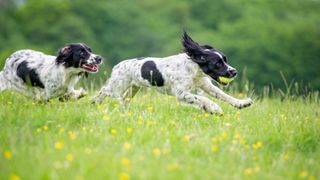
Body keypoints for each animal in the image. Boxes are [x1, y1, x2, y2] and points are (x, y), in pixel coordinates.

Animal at [92, 32, 252, 114]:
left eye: (225, 60)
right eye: (218, 63)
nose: (234, 72)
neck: (193, 70)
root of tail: (118, 65)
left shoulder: (206, 85)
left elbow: (223, 95)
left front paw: (242, 103)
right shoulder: (181, 93)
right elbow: (201, 99)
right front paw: (214, 108)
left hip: (133, 88)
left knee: (124, 100)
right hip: (116, 86)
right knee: (103, 91)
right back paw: (94, 103)